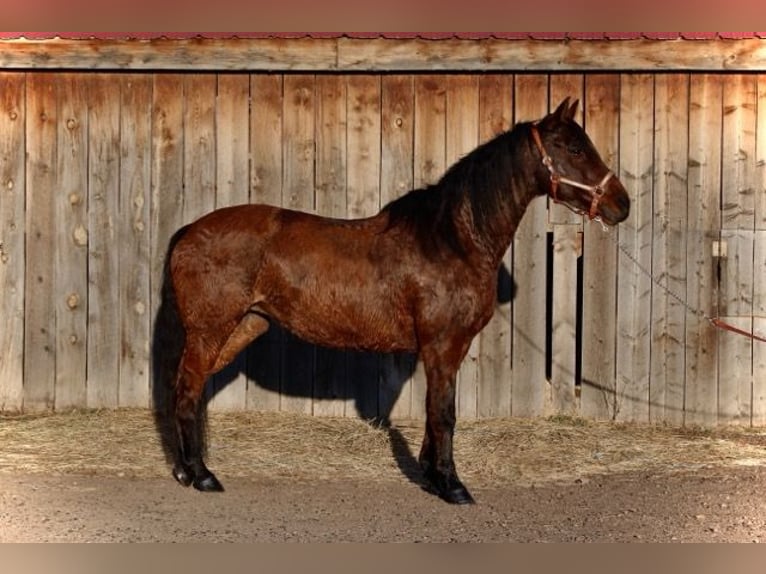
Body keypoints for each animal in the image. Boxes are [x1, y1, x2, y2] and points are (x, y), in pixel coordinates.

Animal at [156, 98, 632, 504]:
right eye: (574, 147)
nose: (621, 204)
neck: (450, 239)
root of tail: (188, 231)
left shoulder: (445, 350)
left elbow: (434, 410)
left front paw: (431, 474)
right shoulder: (442, 345)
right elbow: (444, 413)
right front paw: (452, 485)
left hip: (243, 326)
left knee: (187, 388)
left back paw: (184, 471)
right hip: (211, 330)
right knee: (187, 390)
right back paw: (201, 475)